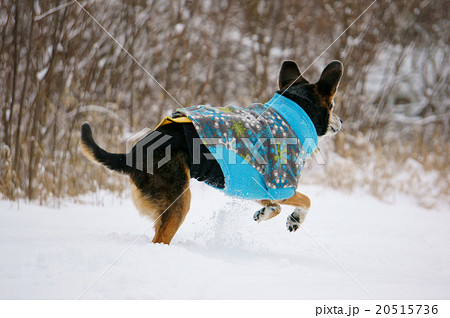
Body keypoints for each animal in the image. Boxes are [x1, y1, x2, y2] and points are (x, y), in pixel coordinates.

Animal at [81, 60, 342, 243]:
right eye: (333, 105)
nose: (341, 122)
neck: (293, 113)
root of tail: (132, 155)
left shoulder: (252, 186)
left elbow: (275, 206)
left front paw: (265, 213)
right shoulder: (282, 186)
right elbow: (307, 200)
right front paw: (296, 219)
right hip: (179, 200)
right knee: (160, 239)